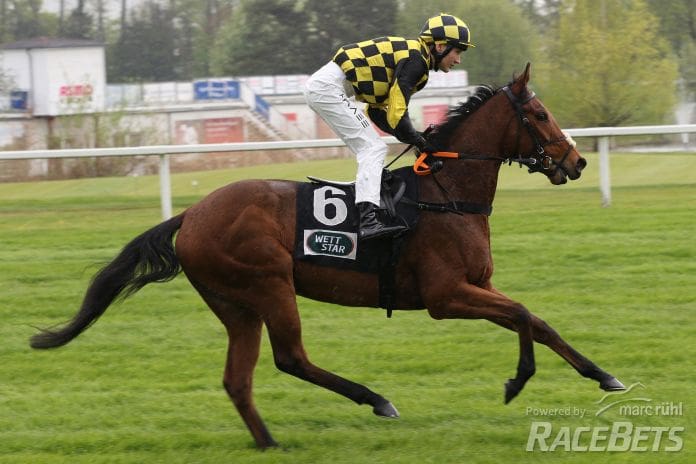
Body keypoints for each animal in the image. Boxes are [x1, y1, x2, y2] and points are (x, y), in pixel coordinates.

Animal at [28, 63, 624, 448]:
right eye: (540, 114)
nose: (575, 162)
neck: (447, 193)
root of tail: (191, 215)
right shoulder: (446, 296)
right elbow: (522, 316)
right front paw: (517, 381)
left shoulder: (477, 286)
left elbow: (537, 320)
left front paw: (603, 375)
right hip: (268, 284)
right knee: (290, 357)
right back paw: (375, 399)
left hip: (235, 305)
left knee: (239, 378)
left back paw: (269, 442)